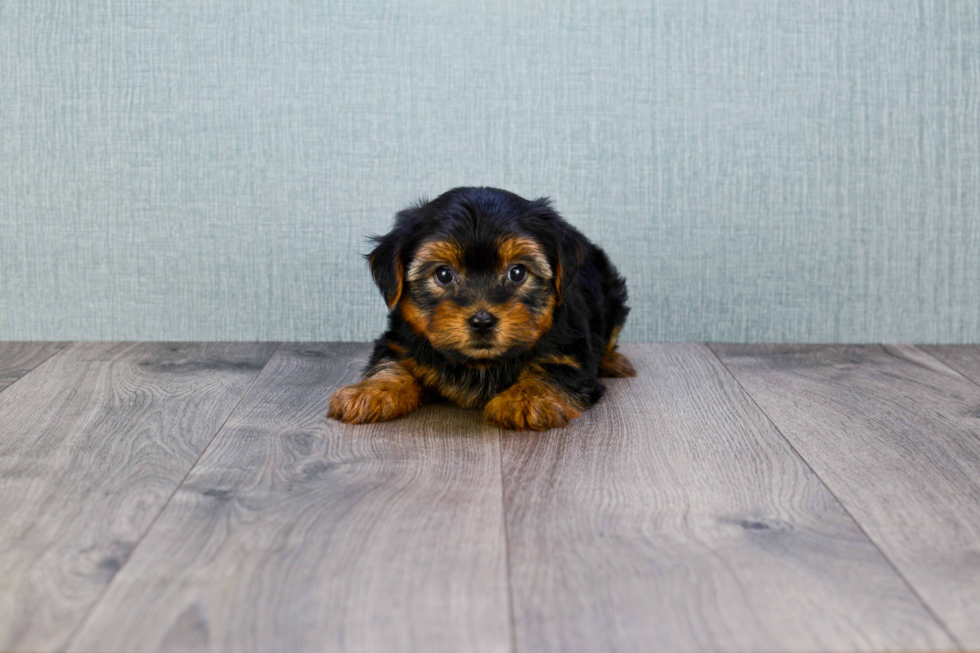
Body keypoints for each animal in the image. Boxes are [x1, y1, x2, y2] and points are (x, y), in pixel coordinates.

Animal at [330, 185, 636, 428]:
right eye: (443, 274)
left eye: (517, 273)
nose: (482, 320)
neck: (480, 364)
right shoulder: (401, 342)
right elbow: (390, 363)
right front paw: (368, 392)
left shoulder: (571, 352)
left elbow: (553, 370)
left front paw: (526, 399)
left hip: (612, 295)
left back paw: (613, 361)